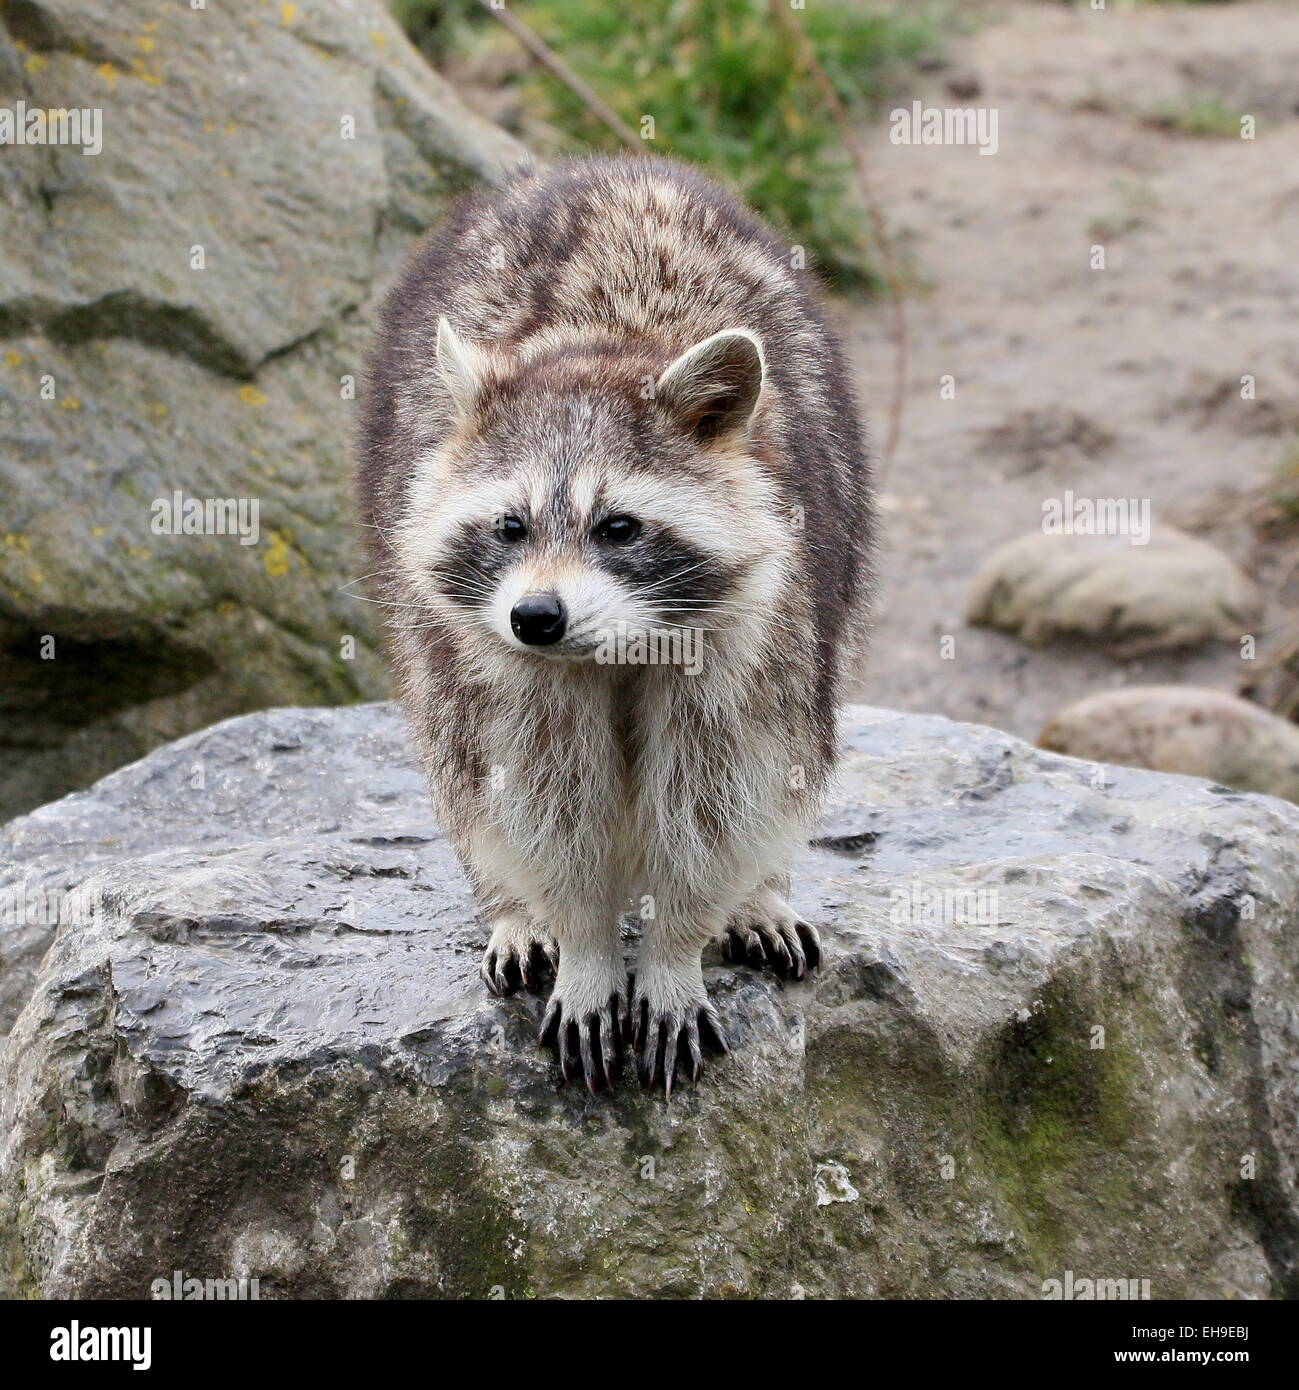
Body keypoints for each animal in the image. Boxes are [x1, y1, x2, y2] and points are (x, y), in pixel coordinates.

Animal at [358, 157, 872, 1095]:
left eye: (618, 528)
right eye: (511, 526)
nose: (536, 617)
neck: (597, 344)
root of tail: (589, 167)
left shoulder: (758, 624)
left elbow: (719, 793)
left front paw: (674, 950)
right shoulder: (500, 660)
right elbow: (542, 799)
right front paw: (584, 943)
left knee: (782, 763)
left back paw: (758, 891)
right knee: (461, 761)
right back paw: (511, 906)